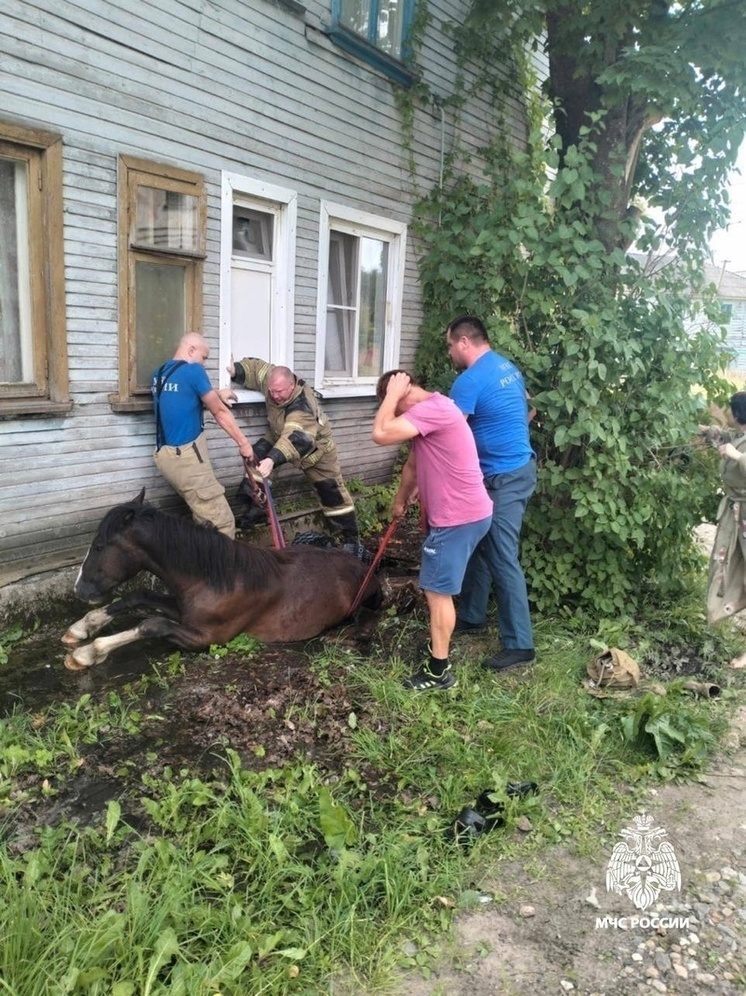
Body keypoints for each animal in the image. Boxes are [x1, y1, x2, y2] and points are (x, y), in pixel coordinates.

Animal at [61, 490, 380, 668]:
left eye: (99, 546)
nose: (79, 589)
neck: (216, 578)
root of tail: (363, 564)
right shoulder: (184, 612)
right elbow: (138, 597)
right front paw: (82, 627)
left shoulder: (207, 638)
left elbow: (152, 624)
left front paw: (88, 652)